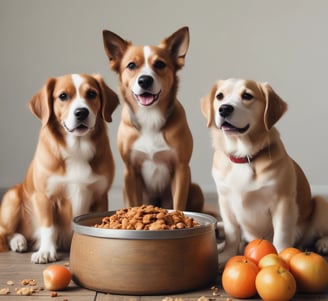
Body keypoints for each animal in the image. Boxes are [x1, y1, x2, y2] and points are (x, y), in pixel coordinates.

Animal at [0, 73, 119, 262]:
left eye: (92, 94)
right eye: (63, 96)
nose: (81, 112)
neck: (77, 149)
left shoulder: (100, 195)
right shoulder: (44, 196)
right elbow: (49, 227)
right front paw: (46, 251)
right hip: (12, 200)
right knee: (5, 232)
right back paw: (18, 241)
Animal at [102, 27, 204, 211]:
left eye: (160, 64)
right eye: (131, 65)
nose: (144, 80)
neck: (149, 117)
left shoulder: (181, 168)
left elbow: (179, 205)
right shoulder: (131, 171)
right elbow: (134, 203)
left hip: (196, 188)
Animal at [201, 78, 328, 268]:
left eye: (247, 95)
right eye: (220, 96)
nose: (224, 108)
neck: (244, 156)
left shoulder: (283, 202)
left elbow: (281, 234)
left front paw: (281, 255)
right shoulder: (225, 201)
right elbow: (232, 233)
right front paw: (227, 254)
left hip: (320, 203)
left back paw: (323, 243)